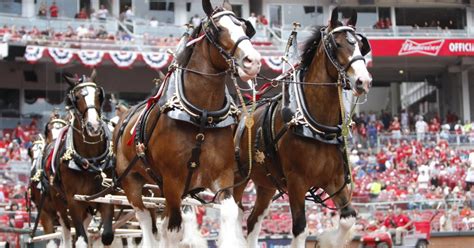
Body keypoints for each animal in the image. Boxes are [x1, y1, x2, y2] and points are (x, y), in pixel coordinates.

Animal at [114, 0, 262, 247]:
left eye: (244, 27)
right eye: (217, 29)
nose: (254, 62)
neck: (201, 117)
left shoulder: (222, 176)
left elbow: (229, 212)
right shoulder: (173, 182)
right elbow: (173, 229)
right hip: (132, 182)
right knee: (145, 218)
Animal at [235, 7, 372, 248]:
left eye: (359, 44)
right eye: (337, 44)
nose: (363, 81)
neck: (316, 127)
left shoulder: (334, 179)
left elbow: (348, 218)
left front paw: (328, 240)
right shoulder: (296, 182)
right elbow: (300, 228)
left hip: (266, 184)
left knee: (252, 220)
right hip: (236, 179)